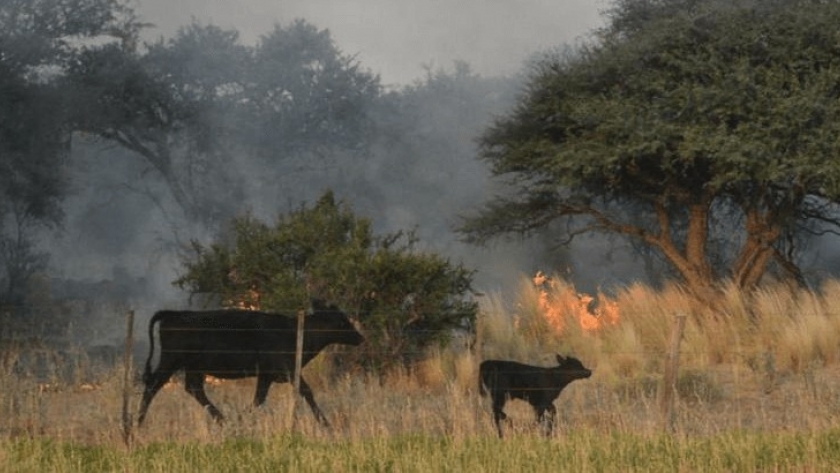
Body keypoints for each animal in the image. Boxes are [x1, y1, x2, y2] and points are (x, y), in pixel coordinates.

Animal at [136, 308, 362, 426]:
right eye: (343, 323)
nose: (360, 337)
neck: (296, 333)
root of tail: (174, 313)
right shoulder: (285, 369)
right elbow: (306, 391)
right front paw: (325, 423)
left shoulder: (267, 375)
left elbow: (259, 399)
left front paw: (240, 418)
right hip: (170, 361)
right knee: (152, 386)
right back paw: (137, 421)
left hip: (194, 367)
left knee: (194, 389)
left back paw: (221, 419)